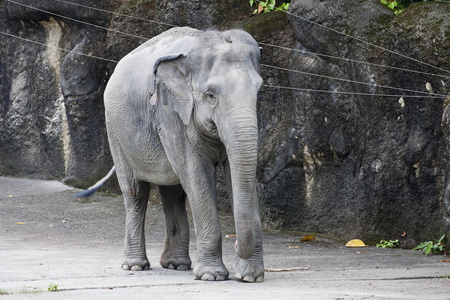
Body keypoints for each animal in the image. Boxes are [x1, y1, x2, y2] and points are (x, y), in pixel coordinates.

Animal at [100, 27, 266, 282]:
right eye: (210, 95)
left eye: (258, 92)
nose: (236, 244)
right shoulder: (170, 114)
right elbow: (197, 176)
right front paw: (211, 276)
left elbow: (236, 173)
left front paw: (250, 277)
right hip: (115, 131)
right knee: (135, 191)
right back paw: (135, 266)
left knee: (173, 192)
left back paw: (176, 265)